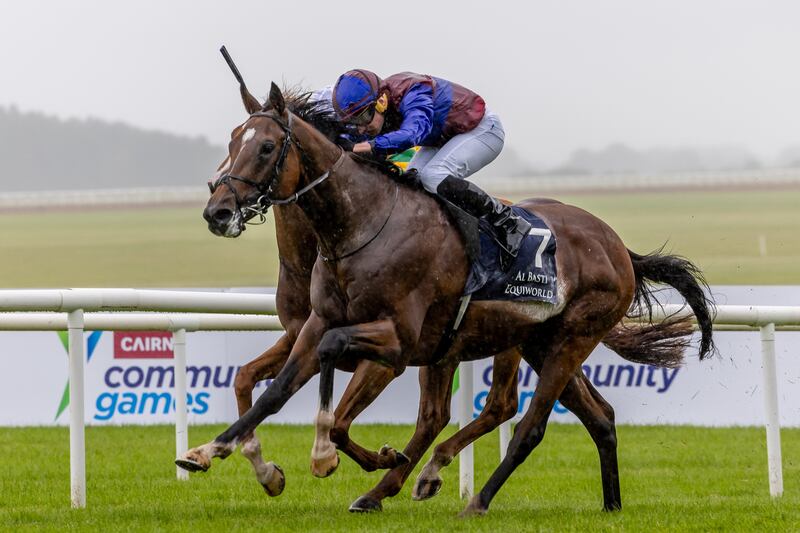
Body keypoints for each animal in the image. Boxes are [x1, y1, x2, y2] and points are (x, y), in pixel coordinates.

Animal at [178, 80, 716, 516]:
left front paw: (330, 456)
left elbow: (338, 400)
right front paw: (213, 453)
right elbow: (270, 390)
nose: (216, 211)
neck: (358, 226)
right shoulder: (313, 328)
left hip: (569, 338)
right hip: (536, 342)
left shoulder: (395, 344)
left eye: (267, 146)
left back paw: (470, 499)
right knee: (596, 416)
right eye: (232, 142)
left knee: (524, 421)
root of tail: (617, 246)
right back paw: (607, 504)